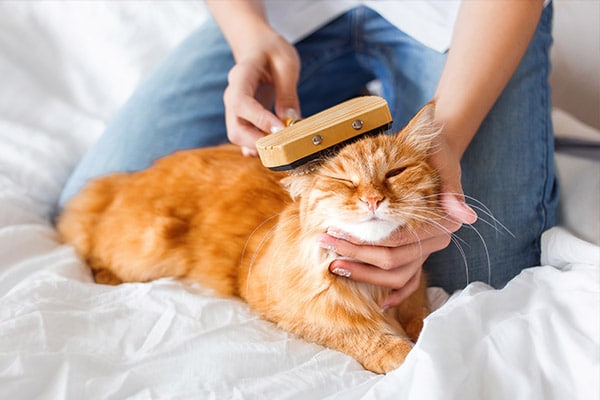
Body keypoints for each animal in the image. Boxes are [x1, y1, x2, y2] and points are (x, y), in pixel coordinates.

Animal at [57, 101, 440, 374]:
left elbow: (422, 318)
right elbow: (352, 332)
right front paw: (400, 352)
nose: (373, 199)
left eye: (395, 173)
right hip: (148, 251)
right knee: (92, 246)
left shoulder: (414, 289)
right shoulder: (279, 303)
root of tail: (125, 179)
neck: (372, 287)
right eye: (344, 182)